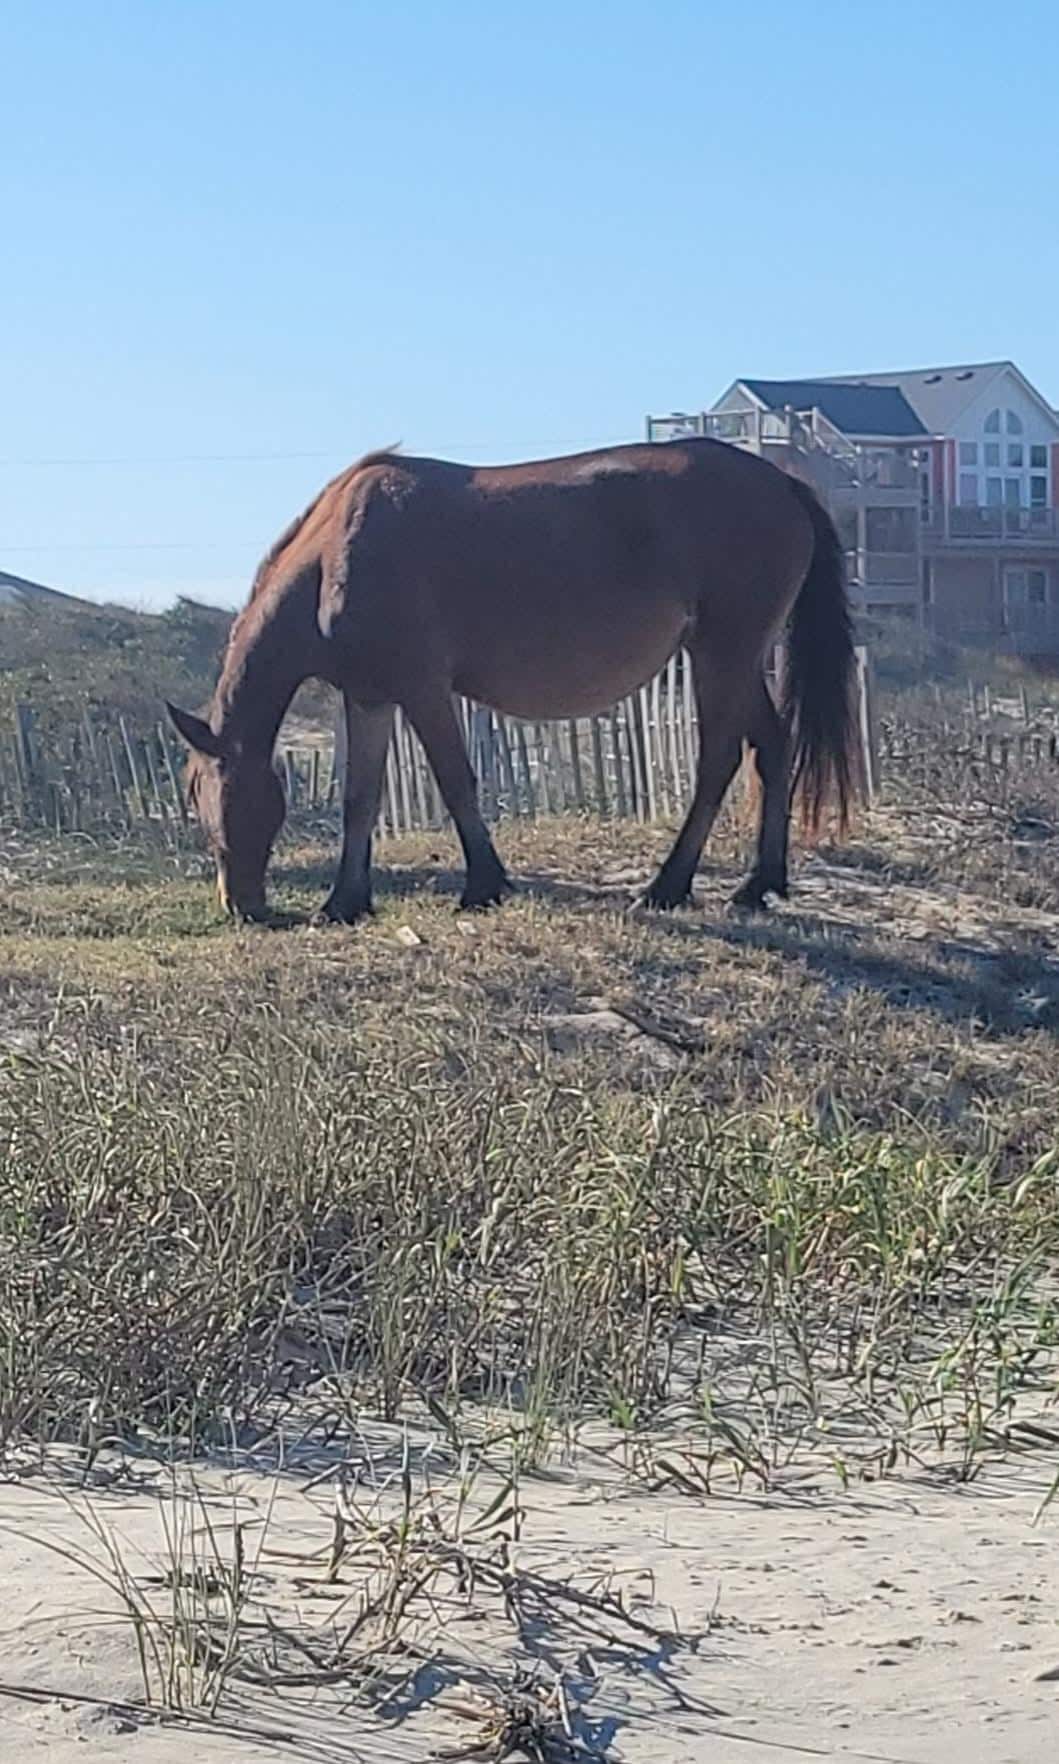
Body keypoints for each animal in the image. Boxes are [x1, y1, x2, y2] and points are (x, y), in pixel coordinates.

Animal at [167, 439, 857, 923]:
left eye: (206, 796)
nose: (241, 905)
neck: (334, 554)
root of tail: (782, 483)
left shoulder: (422, 688)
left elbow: (455, 781)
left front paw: (484, 886)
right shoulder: (369, 697)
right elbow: (360, 798)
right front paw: (344, 902)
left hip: (721, 655)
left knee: (719, 760)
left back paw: (667, 887)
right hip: (737, 661)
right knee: (772, 747)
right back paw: (757, 884)